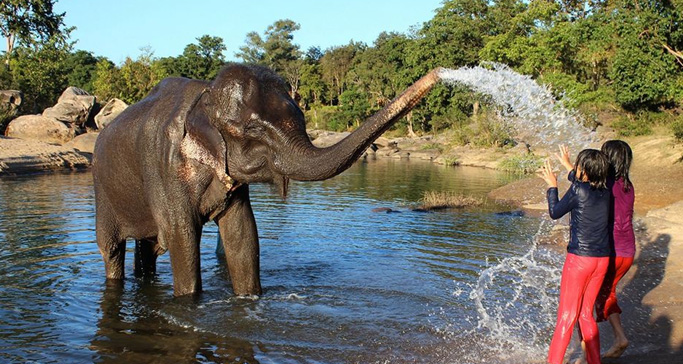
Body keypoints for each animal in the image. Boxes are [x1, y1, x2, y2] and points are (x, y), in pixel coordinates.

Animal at [92, 63, 444, 296]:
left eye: (302, 118)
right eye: (253, 131)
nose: (441, 72)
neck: (205, 96)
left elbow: (242, 234)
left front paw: (250, 300)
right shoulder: (165, 167)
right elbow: (182, 236)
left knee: (148, 245)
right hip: (102, 191)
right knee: (111, 249)